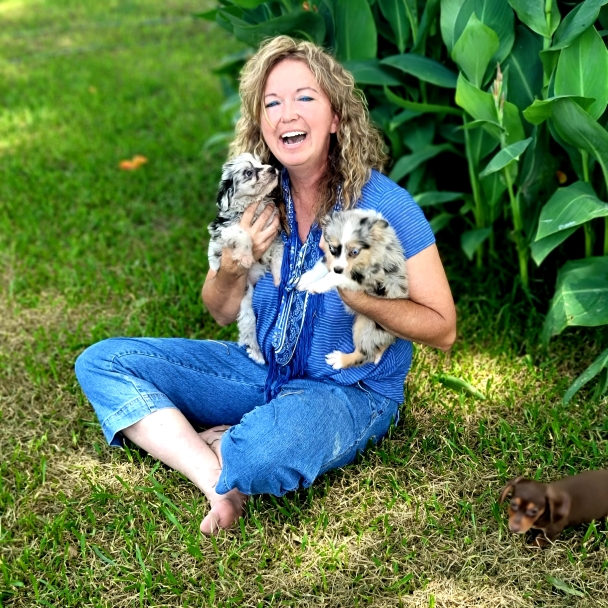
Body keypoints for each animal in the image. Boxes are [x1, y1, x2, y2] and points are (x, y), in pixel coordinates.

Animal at [209, 153, 282, 360]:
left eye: (261, 163)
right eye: (248, 172)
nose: (272, 169)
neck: (253, 204)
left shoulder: (275, 234)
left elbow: (279, 253)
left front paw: (278, 277)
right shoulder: (225, 231)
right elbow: (243, 234)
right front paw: (245, 257)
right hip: (246, 303)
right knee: (248, 327)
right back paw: (256, 352)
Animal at [296, 211, 408, 368]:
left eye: (354, 251)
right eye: (332, 248)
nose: (338, 269)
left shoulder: (368, 278)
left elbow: (334, 277)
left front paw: (317, 286)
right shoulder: (331, 260)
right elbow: (322, 266)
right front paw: (306, 279)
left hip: (367, 328)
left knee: (365, 355)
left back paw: (340, 360)